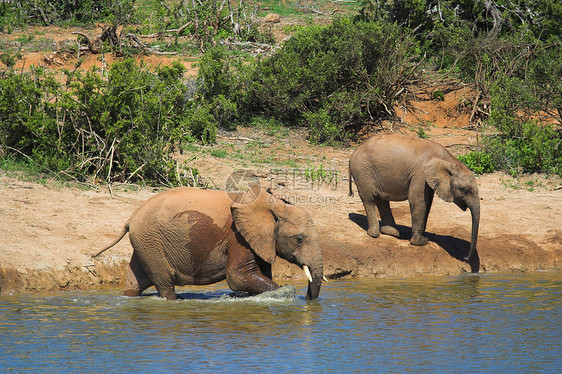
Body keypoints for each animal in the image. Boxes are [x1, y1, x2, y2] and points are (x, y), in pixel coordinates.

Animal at [92, 186, 324, 300]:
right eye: (299, 239)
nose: (308, 300)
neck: (274, 206)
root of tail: (131, 218)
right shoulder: (238, 236)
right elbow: (238, 276)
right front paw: (285, 290)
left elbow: (258, 274)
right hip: (152, 243)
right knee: (165, 284)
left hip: (145, 243)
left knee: (135, 282)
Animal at [348, 133, 480, 268]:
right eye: (466, 190)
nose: (465, 258)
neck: (449, 161)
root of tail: (355, 151)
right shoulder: (420, 174)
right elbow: (418, 202)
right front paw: (421, 242)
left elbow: (427, 203)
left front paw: (424, 237)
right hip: (363, 170)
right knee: (369, 199)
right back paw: (374, 235)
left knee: (381, 200)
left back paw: (392, 232)